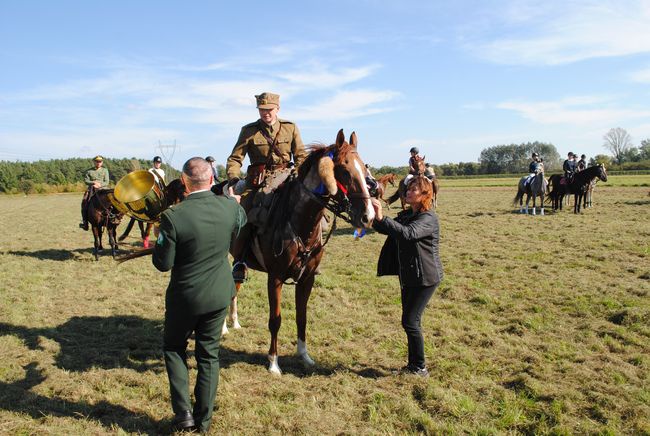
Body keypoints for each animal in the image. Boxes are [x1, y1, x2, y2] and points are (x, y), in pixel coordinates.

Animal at [232, 129, 374, 374]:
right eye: (344, 171)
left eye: (365, 171)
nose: (368, 216)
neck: (300, 223)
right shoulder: (275, 278)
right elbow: (275, 320)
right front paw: (273, 363)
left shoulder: (307, 279)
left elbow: (302, 317)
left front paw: (304, 356)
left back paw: (234, 322)